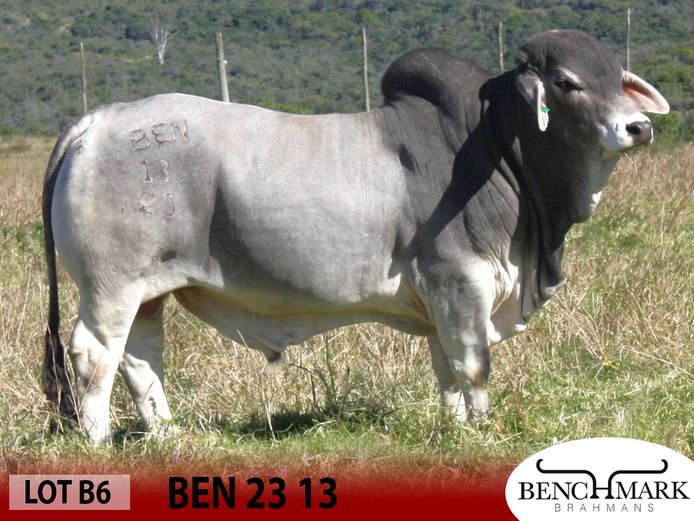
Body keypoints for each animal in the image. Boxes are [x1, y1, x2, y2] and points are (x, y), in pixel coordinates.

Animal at [43, 30, 669, 443]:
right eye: (567, 83)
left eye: (619, 79)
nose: (639, 127)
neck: (495, 147)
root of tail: (98, 120)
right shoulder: (462, 283)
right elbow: (474, 365)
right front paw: (483, 431)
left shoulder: (441, 299)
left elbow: (446, 369)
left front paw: (455, 428)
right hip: (112, 286)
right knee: (95, 355)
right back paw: (99, 442)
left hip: (149, 291)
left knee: (141, 358)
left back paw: (169, 435)